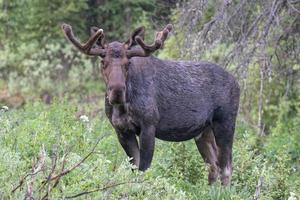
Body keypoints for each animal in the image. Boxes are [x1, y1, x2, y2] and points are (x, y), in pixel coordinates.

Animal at [62, 23, 240, 184]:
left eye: (128, 63)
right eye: (102, 62)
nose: (117, 92)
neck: (123, 107)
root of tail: (237, 83)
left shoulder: (148, 125)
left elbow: (143, 169)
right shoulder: (121, 130)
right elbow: (134, 168)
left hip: (225, 122)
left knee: (226, 167)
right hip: (203, 131)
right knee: (213, 166)